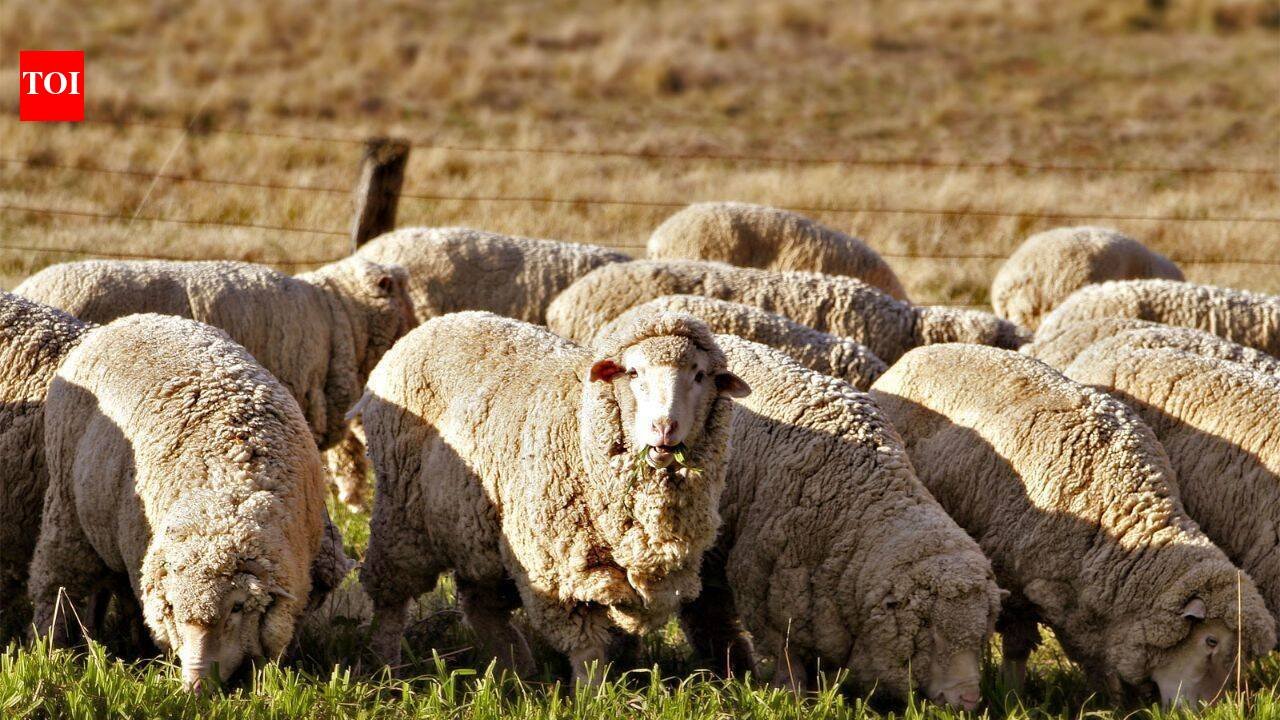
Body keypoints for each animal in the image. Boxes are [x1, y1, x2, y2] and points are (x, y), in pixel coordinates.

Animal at [29, 314, 327, 690]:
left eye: (238, 607)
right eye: (172, 608)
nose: (195, 687)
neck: (226, 489)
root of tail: (128, 319)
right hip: (66, 505)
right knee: (55, 582)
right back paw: (49, 649)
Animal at [357, 311, 749, 685]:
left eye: (699, 375)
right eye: (634, 372)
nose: (664, 428)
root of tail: (432, 324)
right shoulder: (558, 569)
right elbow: (587, 649)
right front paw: (592, 695)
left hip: (478, 531)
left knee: (482, 603)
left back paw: (516, 669)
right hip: (401, 513)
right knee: (391, 597)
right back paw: (386, 665)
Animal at [679, 335, 1002, 709]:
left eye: (982, 634)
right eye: (930, 633)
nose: (968, 699)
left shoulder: (823, 609)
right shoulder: (766, 592)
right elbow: (787, 657)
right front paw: (792, 698)